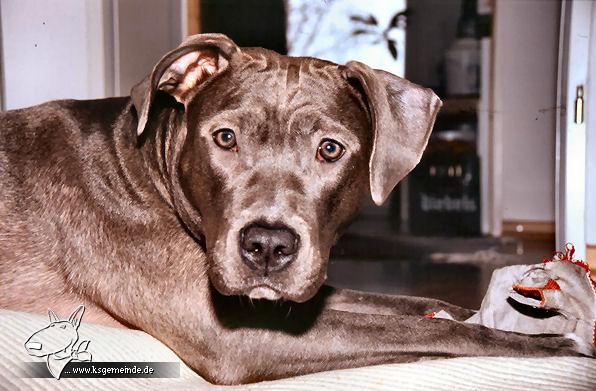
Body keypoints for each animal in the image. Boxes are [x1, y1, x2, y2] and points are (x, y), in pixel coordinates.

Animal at [0, 35, 588, 384]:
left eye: (330, 149)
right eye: (225, 137)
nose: (267, 246)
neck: (145, 163)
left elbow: (407, 305)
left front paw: (478, 309)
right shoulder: (229, 336)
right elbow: (429, 332)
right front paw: (557, 343)